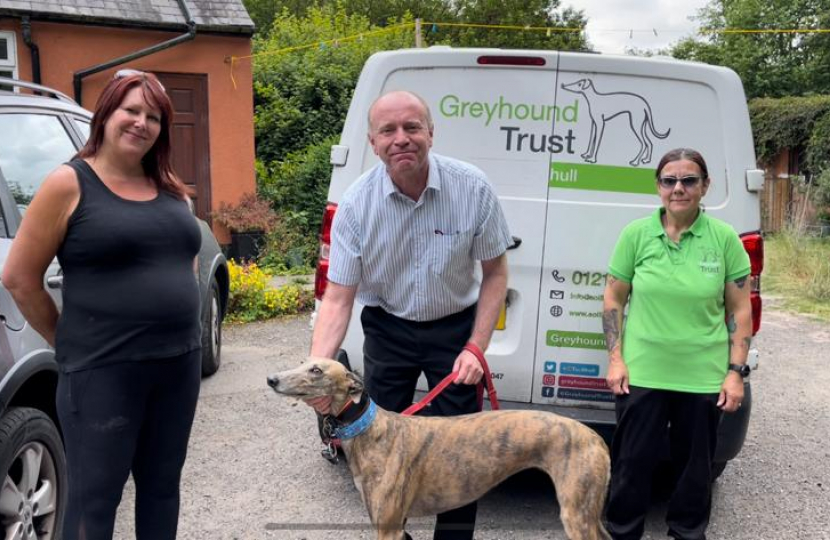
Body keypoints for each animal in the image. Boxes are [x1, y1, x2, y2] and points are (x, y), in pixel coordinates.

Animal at [270, 358, 616, 540]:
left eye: (317, 370)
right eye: (303, 362)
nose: (271, 379)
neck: (370, 430)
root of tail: (596, 438)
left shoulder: (389, 526)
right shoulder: (395, 525)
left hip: (577, 515)